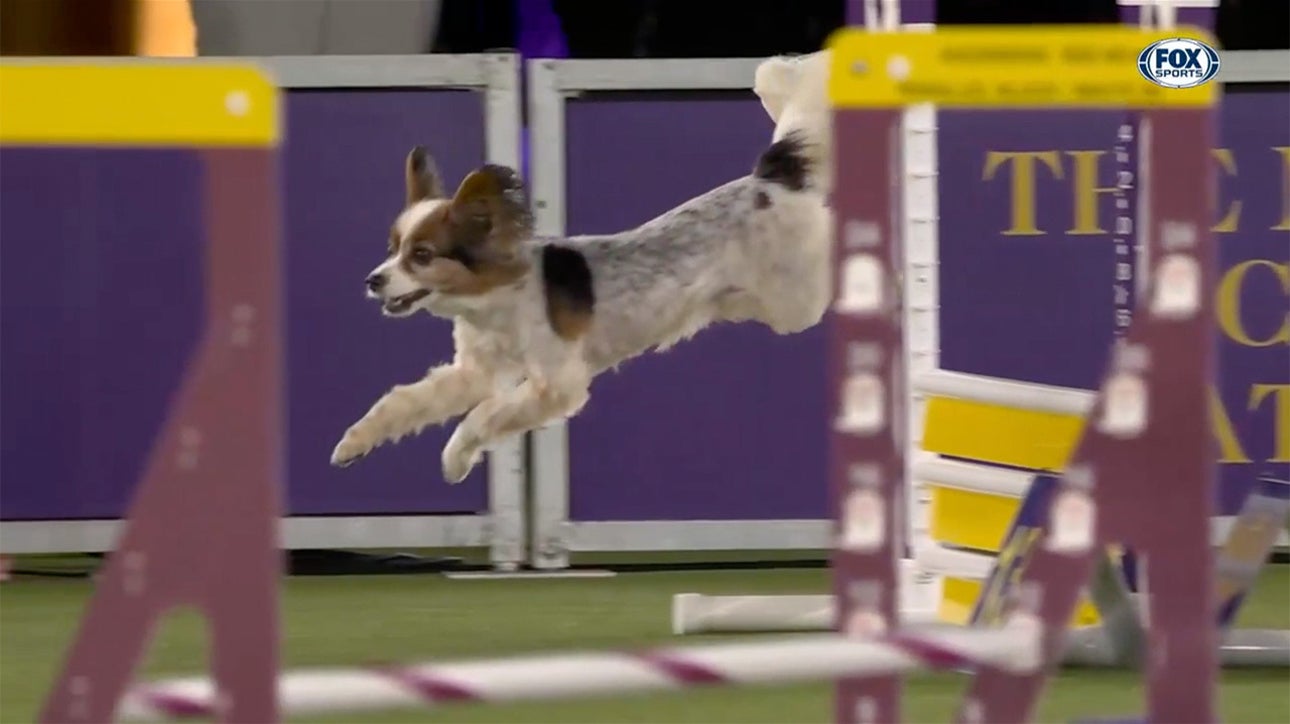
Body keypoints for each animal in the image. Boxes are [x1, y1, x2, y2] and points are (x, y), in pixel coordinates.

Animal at [332, 66, 830, 480]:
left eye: (421, 255)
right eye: (392, 248)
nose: (372, 280)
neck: (495, 301)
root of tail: (769, 179)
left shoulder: (556, 385)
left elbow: (484, 415)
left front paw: (456, 458)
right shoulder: (473, 373)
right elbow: (406, 401)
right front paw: (352, 443)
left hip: (798, 296)